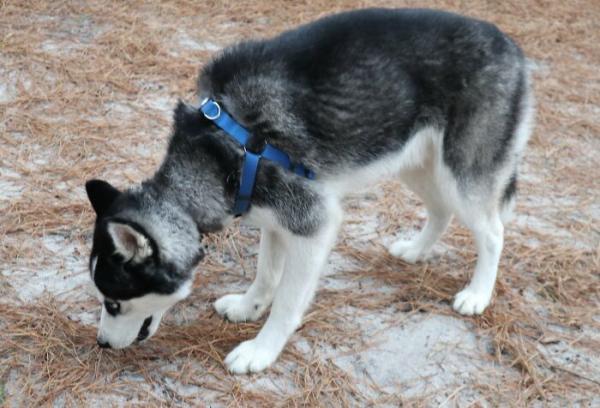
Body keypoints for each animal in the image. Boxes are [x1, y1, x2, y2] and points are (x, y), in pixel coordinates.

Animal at [85, 8, 536, 372]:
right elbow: (266, 274)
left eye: (113, 302)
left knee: (492, 232)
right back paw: (417, 250)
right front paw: (249, 306)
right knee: (441, 210)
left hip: (462, 175)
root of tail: (510, 44)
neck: (223, 151)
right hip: (416, 163)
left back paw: (477, 294)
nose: (102, 343)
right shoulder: (273, 220)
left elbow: (287, 302)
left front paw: (261, 350)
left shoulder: (312, 225)